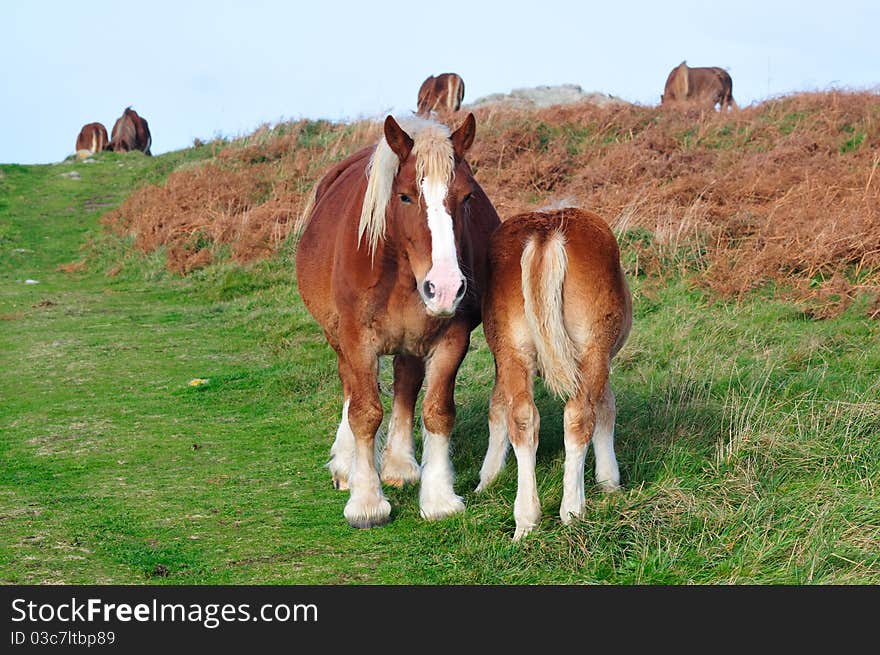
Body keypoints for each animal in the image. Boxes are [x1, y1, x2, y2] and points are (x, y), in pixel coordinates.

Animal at [296, 115, 502, 532]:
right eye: (405, 196)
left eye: (467, 197)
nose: (445, 288)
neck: (400, 269)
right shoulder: (357, 341)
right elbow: (364, 413)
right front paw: (367, 502)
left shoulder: (451, 338)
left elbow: (437, 411)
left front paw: (438, 498)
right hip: (338, 337)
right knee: (350, 388)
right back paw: (346, 465)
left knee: (406, 385)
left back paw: (400, 465)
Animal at [474, 208, 632, 540]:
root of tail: (545, 232)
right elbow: (606, 407)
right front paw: (609, 481)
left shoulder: (501, 360)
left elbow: (497, 406)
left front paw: (486, 480)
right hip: (592, 350)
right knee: (578, 416)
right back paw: (572, 511)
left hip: (513, 350)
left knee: (522, 418)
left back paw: (526, 519)